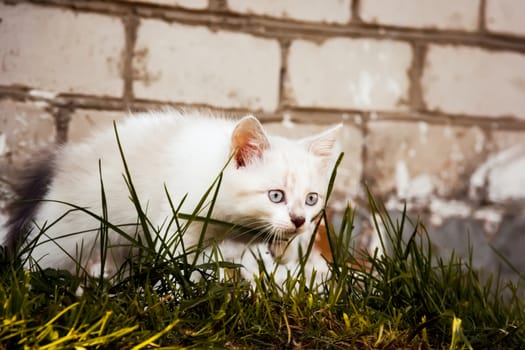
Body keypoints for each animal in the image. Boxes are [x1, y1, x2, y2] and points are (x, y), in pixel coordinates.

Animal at [1, 110, 340, 288]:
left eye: (312, 199)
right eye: (276, 196)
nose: (299, 220)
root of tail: (68, 154)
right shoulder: (178, 221)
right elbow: (177, 264)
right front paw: (179, 295)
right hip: (69, 225)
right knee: (42, 255)